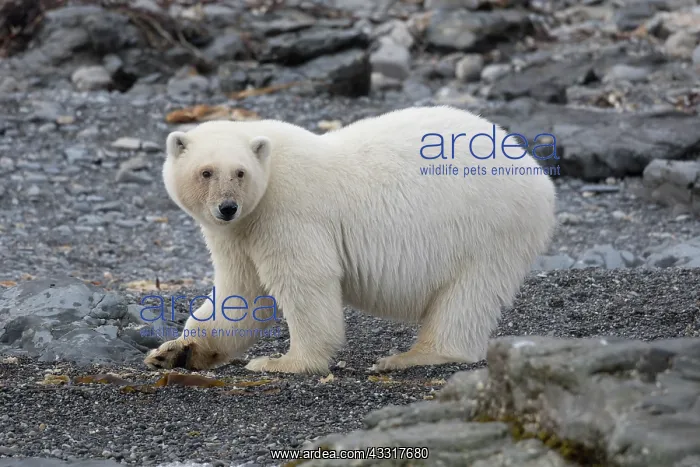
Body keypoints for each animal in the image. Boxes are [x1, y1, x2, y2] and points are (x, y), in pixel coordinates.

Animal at [143, 105, 557, 375]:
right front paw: (175, 352)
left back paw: (408, 357)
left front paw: (283, 362)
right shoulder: (239, 233)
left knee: (468, 293)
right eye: (206, 172)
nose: (227, 207)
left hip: (488, 226)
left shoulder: (286, 210)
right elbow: (240, 292)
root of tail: (533, 168)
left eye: (240, 172)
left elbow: (305, 280)